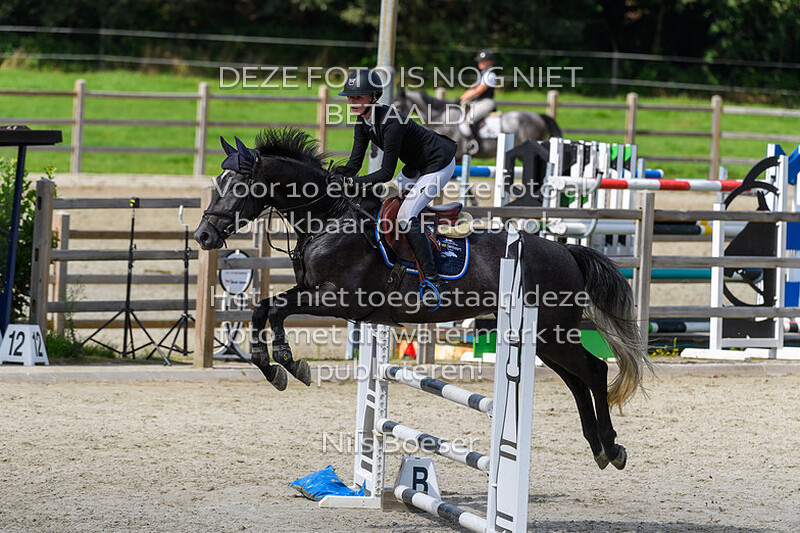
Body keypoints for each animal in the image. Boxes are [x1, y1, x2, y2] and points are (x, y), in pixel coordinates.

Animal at [194, 128, 652, 471]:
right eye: (217, 183)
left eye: (238, 185)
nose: (203, 236)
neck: (328, 219)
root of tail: (567, 251)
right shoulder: (315, 293)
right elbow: (264, 308)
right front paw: (276, 365)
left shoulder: (338, 300)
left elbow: (275, 309)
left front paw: (288, 364)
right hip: (541, 339)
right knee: (577, 380)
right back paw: (600, 447)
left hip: (552, 333)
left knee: (593, 371)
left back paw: (611, 446)